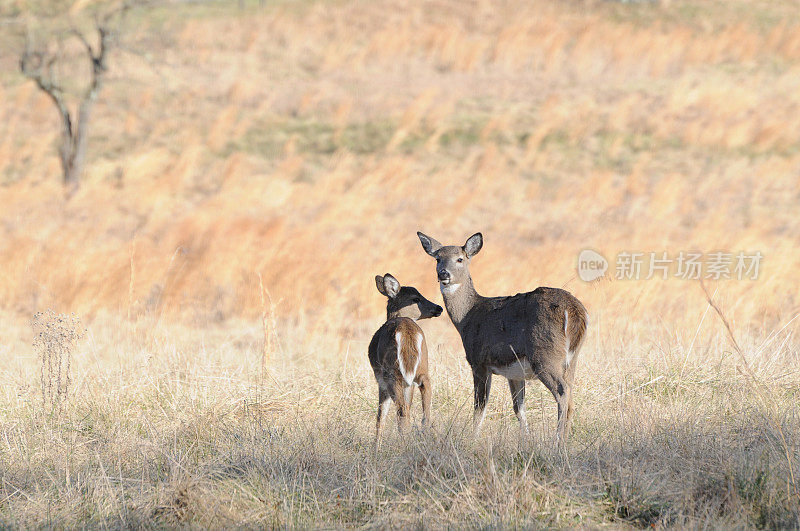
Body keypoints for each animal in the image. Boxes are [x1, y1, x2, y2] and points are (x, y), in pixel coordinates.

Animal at [368, 272, 444, 446]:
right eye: (416, 298)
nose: (439, 308)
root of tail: (406, 331)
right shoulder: (409, 383)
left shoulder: (381, 381)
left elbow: (381, 416)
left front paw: (376, 446)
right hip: (423, 366)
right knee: (423, 413)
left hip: (392, 374)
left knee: (402, 413)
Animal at [418, 233, 588, 444]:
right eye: (437, 259)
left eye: (460, 259)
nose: (443, 274)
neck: (468, 317)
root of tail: (574, 311)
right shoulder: (514, 372)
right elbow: (519, 409)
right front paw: (526, 440)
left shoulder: (479, 362)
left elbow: (480, 408)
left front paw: (473, 439)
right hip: (571, 359)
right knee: (570, 395)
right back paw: (565, 439)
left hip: (545, 355)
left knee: (562, 393)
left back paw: (557, 441)